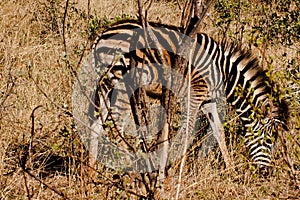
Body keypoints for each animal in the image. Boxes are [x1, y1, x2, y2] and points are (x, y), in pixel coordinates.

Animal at [77, 18, 288, 174]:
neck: (223, 71)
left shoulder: (208, 100)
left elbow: (218, 132)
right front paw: (177, 170)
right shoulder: (194, 95)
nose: (266, 173)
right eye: (269, 141)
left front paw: (230, 170)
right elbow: (187, 131)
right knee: (117, 125)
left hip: (107, 83)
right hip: (122, 81)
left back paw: (91, 170)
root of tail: (103, 34)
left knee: (97, 124)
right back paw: (125, 170)